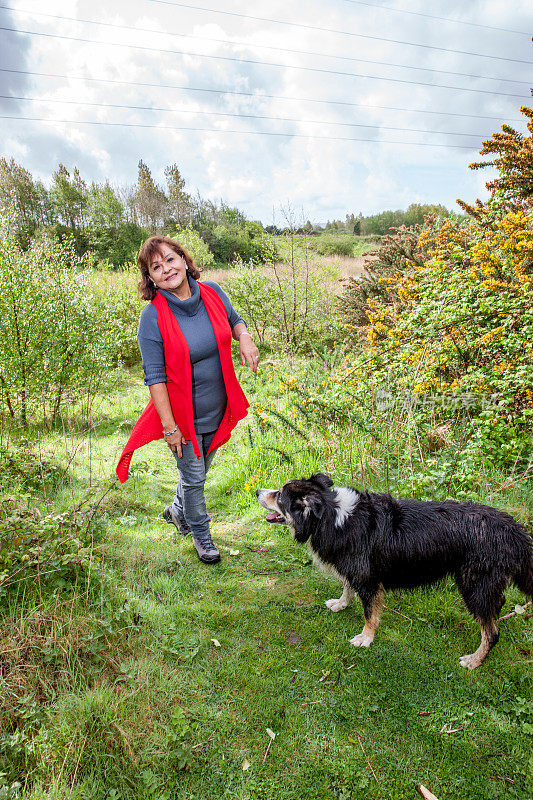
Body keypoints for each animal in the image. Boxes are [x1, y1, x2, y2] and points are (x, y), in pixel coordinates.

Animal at [256, 476, 528, 668]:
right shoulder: (354, 569)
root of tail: (510, 527)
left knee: (492, 633)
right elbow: (347, 586)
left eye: (279, 495)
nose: (257, 492)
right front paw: (341, 603)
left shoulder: (368, 580)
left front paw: (366, 638)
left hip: (474, 586)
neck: (332, 515)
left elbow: (370, 614)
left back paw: (475, 660)